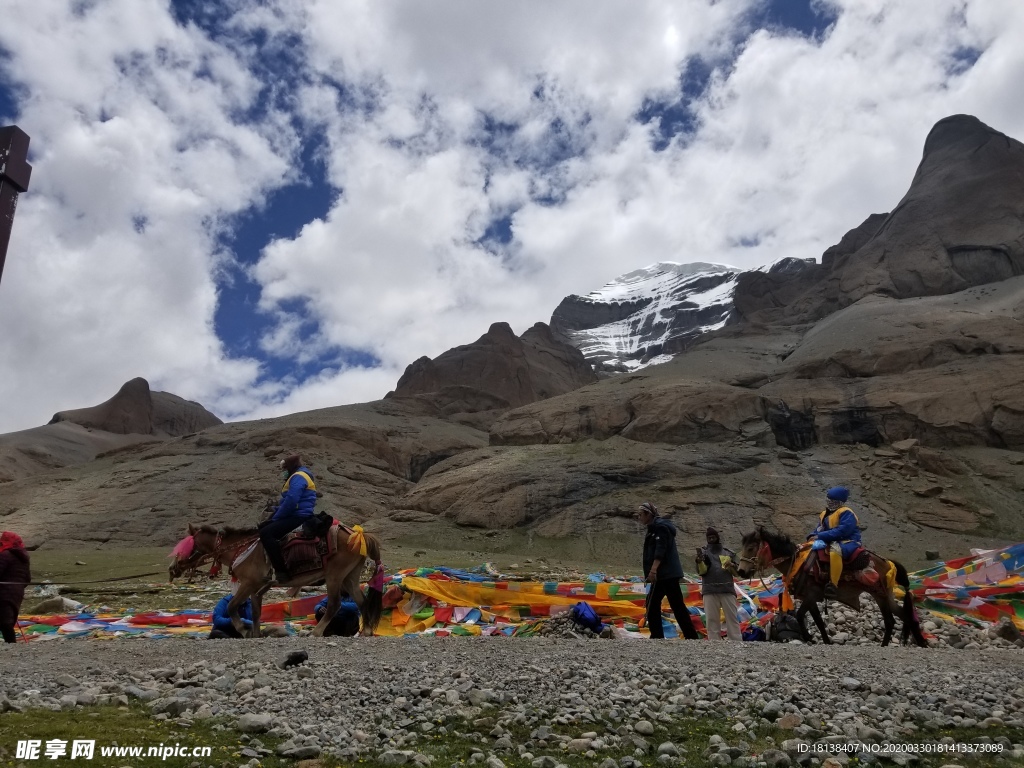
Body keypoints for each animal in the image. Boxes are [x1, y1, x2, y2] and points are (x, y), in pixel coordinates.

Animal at [168, 520, 385, 638]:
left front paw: (244, 631)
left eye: (186, 545)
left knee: (334, 604)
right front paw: (255, 634)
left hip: (335, 576)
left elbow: (231, 607)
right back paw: (366, 631)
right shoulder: (256, 589)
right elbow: (256, 611)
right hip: (350, 576)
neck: (241, 549)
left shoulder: (248, 584)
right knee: (362, 602)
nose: (172, 569)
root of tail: (359, 535)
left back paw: (315, 632)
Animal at [737, 528, 929, 647]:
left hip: (880, 594)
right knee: (900, 618)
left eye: (751, 547)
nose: (740, 571)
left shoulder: (811, 596)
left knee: (894, 620)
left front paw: (810, 638)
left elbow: (799, 615)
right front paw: (824, 640)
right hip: (885, 596)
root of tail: (889, 563)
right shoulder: (810, 598)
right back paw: (912, 643)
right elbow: (818, 621)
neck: (798, 562)